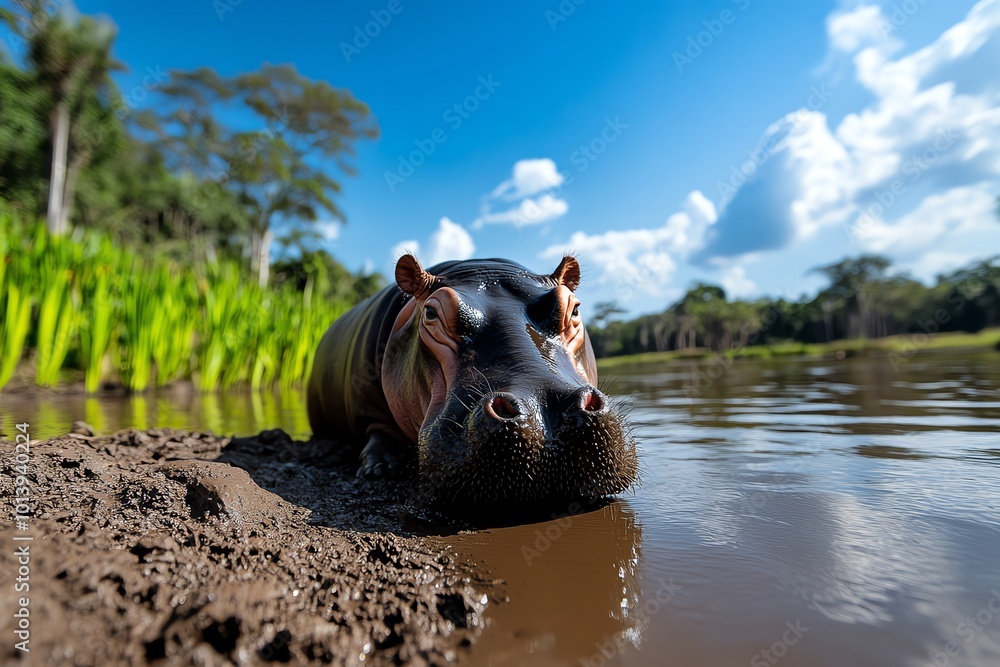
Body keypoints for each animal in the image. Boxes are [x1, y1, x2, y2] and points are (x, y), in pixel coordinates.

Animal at [307, 254, 638, 508]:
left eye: (575, 308)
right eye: (430, 312)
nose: (545, 413)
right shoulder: (367, 404)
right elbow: (377, 430)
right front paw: (380, 468)